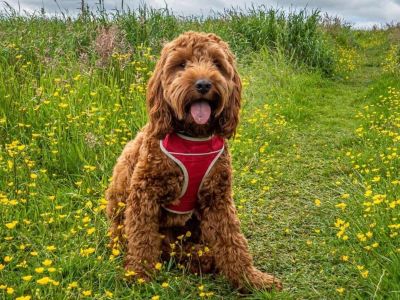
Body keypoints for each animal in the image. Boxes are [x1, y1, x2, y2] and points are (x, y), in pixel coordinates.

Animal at [105, 31, 282, 292]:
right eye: (181, 64)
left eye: (217, 63)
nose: (203, 84)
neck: (193, 137)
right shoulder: (144, 194)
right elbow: (141, 239)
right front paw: (138, 275)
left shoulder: (218, 197)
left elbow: (233, 240)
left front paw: (250, 279)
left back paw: (201, 257)